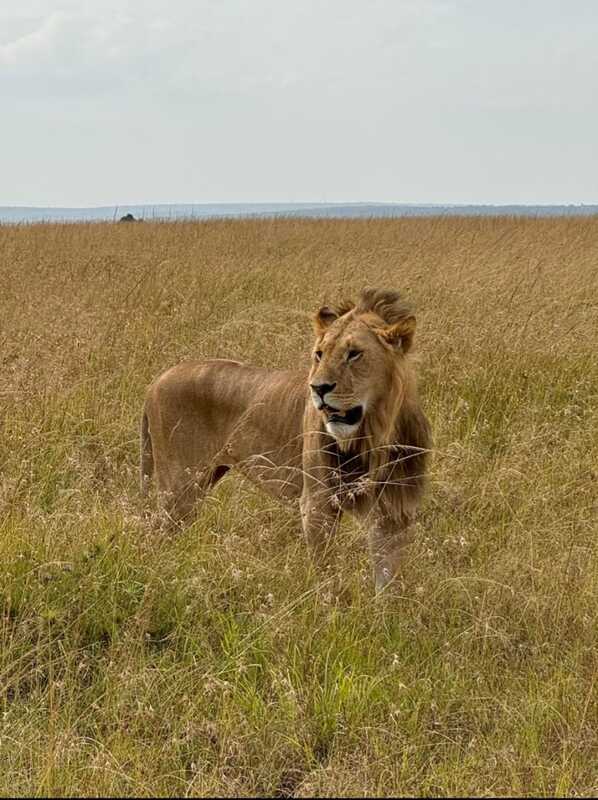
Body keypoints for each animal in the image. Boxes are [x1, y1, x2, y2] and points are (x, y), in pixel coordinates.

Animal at [140, 288, 431, 592]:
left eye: (354, 354)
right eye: (319, 354)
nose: (318, 388)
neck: (374, 437)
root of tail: (155, 381)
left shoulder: (394, 511)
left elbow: (388, 583)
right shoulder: (317, 503)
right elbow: (327, 575)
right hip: (179, 485)